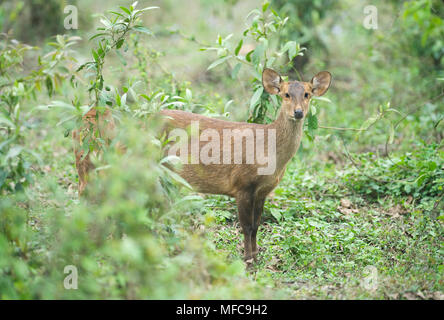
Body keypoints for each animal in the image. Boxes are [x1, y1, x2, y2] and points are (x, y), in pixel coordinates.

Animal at [161, 68, 332, 262]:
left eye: (307, 94)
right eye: (286, 94)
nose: (298, 112)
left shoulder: (263, 191)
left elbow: (256, 225)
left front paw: (256, 257)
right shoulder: (241, 184)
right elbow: (246, 226)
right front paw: (248, 259)